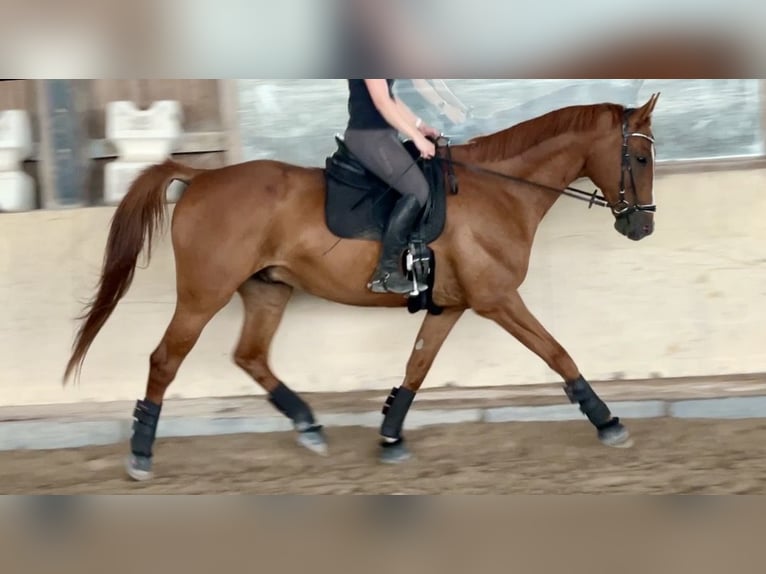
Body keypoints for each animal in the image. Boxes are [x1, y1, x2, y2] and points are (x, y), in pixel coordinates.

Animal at [63, 93, 661, 482]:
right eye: (639, 156)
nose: (642, 228)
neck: (500, 191)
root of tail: (202, 177)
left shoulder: (450, 305)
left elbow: (417, 367)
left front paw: (391, 435)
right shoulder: (497, 300)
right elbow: (557, 353)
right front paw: (608, 422)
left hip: (267, 289)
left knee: (250, 355)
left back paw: (308, 426)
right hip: (203, 295)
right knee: (165, 359)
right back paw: (141, 454)